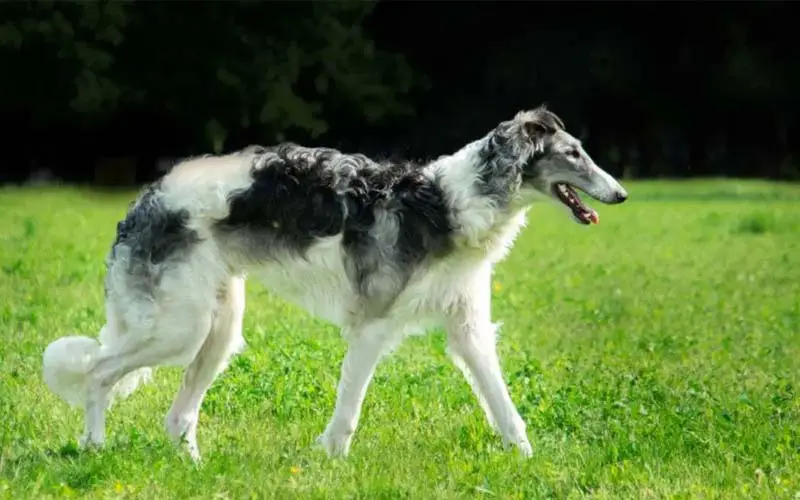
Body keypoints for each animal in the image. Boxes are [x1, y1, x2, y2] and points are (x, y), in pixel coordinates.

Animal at [43, 105, 628, 460]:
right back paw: (93, 447)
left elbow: (505, 410)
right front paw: (332, 461)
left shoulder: (468, 329)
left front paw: (528, 461)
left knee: (177, 415)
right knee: (98, 374)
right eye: (573, 153)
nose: (621, 194)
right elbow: (348, 412)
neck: (450, 203)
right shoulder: (373, 327)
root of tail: (146, 199)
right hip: (179, 330)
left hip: (218, 329)